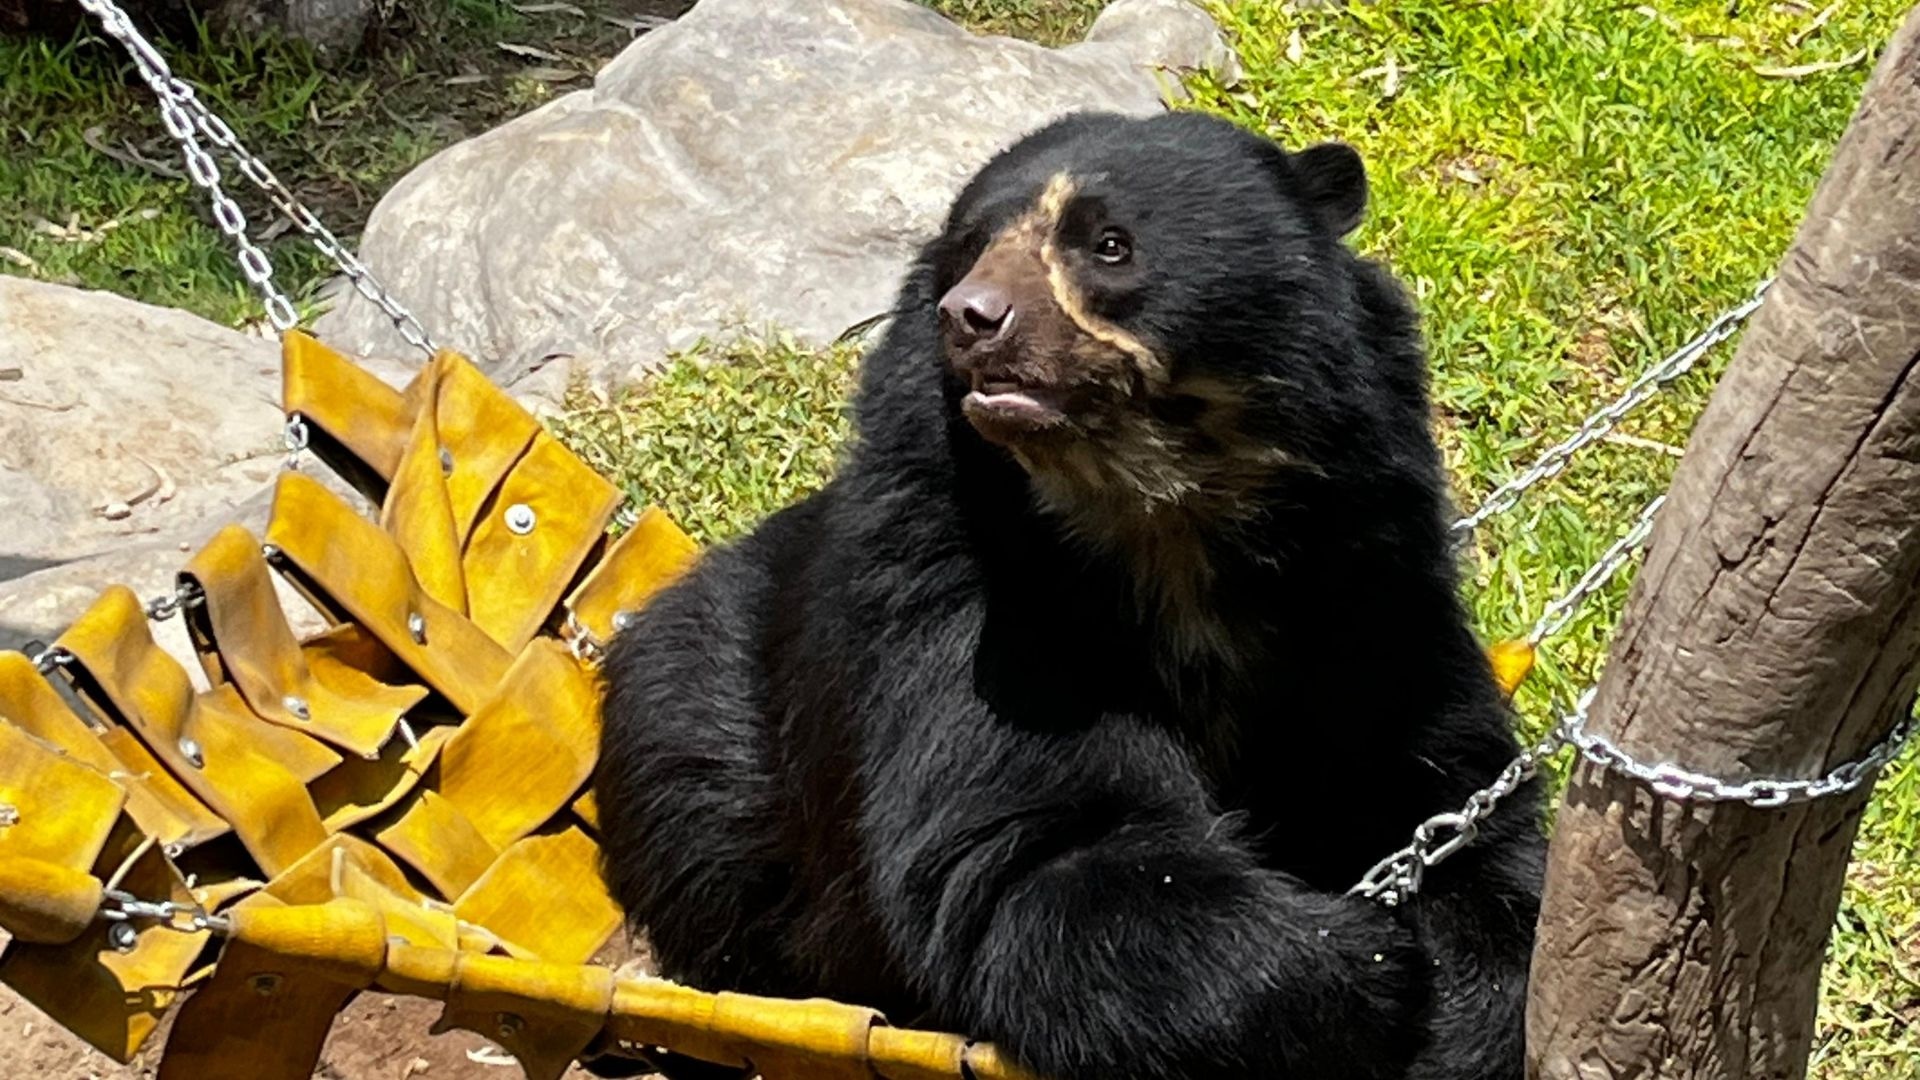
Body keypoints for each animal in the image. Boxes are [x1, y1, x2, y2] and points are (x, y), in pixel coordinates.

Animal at [594, 110, 1545, 1080]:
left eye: (1110, 245)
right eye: (971, 247)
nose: (970, 316)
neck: (1161, 516)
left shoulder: (1366, 580)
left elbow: (1451, 797)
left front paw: (1465, 1004)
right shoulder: (967, 598)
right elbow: (1039, 855)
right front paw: (1365, 963)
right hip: (702, 727)